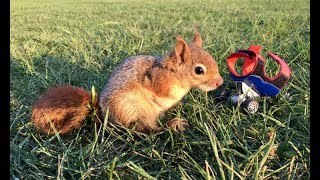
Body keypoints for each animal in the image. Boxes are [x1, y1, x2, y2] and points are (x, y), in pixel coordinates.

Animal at [31, 31, 224, 135]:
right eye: (199, 70)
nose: (220, 82)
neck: (173, 74)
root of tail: (102, 111)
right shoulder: (156, 81)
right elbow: (163, 93)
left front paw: (179, 102)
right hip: (130, 108)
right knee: (145, 129)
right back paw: (172, 125)